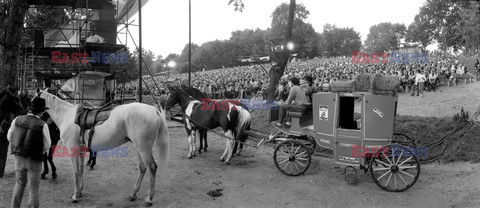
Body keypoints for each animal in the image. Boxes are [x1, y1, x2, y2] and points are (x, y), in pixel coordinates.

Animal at [34, 89, 169, 206]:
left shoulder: (73, 150)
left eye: (32, 100)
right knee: (142, 167)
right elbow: (81, 170)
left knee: (152, 167)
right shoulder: (81, 151)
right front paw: (80, 191)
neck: (66, 116)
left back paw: (149, 199)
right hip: (138, 147)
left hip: (143, 148)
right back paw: (133, 194)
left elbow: (75, 172)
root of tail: (154, 110)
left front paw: (75, 196)